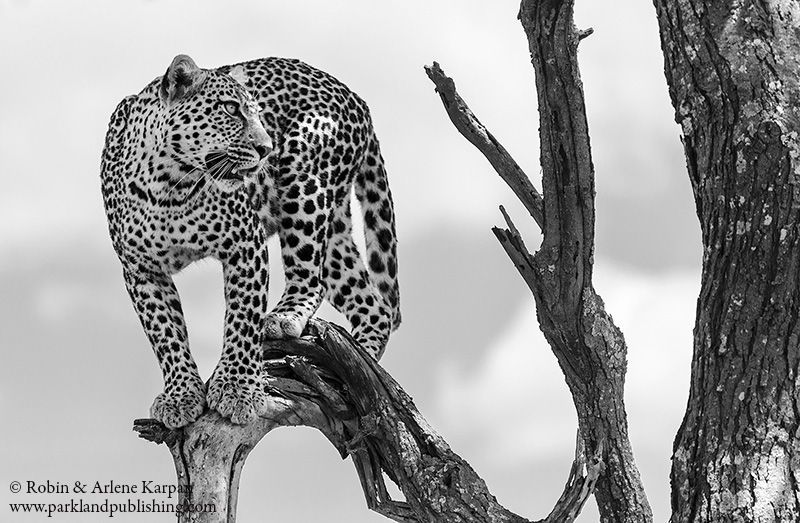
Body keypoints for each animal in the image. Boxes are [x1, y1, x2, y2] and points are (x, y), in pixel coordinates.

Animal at [101, 54, 400, 430]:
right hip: (335, 233)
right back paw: (352, 375)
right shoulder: (141, 269)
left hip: (305, 181)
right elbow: (165, 334)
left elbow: (243, 319)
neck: (167, 185)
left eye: (258, 114)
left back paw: (287, 320)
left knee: (310, 279)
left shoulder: (245, 243)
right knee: (373, 305)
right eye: (231, 109)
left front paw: (237, 389)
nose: (266, 148)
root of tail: (357, 99)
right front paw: (180, 395)